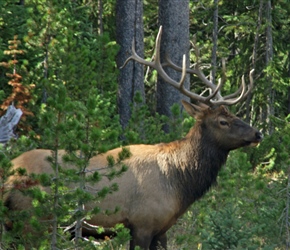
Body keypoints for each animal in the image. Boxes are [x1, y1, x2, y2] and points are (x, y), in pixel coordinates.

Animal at [2, 26, 262, 249]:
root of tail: (9, 176)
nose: (257, 133)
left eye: (234, 115)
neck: (180, 183)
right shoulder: (142, 223)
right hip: (32, 220)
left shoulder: (161, 229)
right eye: (223, 121)